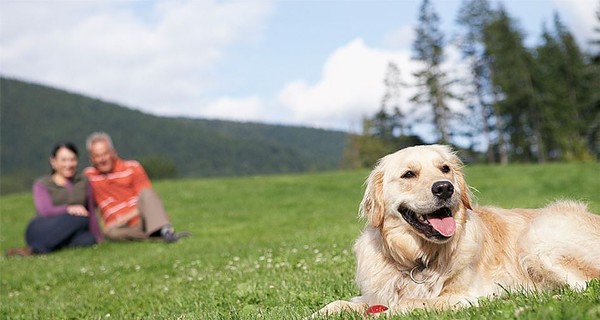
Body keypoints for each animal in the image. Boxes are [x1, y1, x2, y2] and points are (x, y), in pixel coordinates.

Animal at [314, 145, 600, 318]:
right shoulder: (374, 294)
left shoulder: (464, 296)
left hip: (538, 237)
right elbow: (338, 304)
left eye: (445, 168)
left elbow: (406, 304)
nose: (444, 187)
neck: (418, 260)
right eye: (408, 174)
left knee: (583, 286)